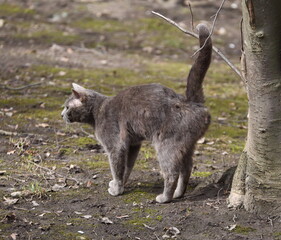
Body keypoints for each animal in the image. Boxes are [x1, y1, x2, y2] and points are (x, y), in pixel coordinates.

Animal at [60, 23, 210, 202]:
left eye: (67, 107)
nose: (61, 115)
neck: (97, 112)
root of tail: (190, 101)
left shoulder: (115, 145)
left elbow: (117, 168)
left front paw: (117, 189)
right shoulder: (133, 144)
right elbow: (127, 167)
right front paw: (120, 185)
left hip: (167, 144)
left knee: (171, 173)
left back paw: (165, 197)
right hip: (187, 145)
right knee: (187, 169)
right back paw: (179, 193)